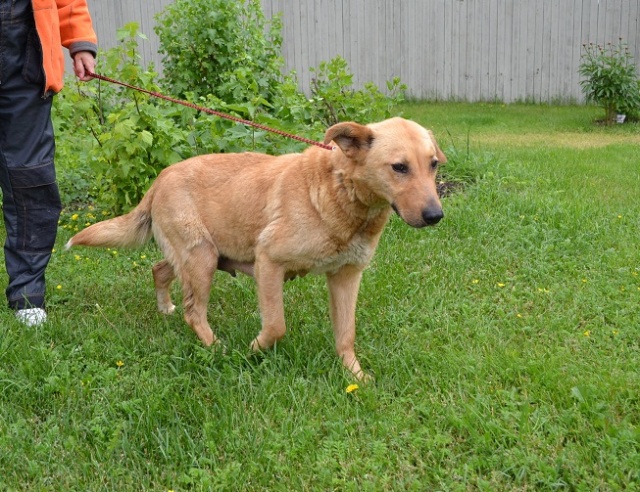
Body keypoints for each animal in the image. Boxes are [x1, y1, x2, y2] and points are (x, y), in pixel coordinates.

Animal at [66, 117, 446, 380]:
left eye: (433, 164)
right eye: (399, 167)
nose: (436, 216)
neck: (340, 191)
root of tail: (160, 177)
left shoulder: (346, 277)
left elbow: (345, 335)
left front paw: (354, 375)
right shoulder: (269, 262)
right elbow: (276, 326)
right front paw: (251, 350)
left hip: (191, 255)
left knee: (159, 270)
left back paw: (165, 308)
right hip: (202, 258)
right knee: (194, 311)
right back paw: (215, 348)